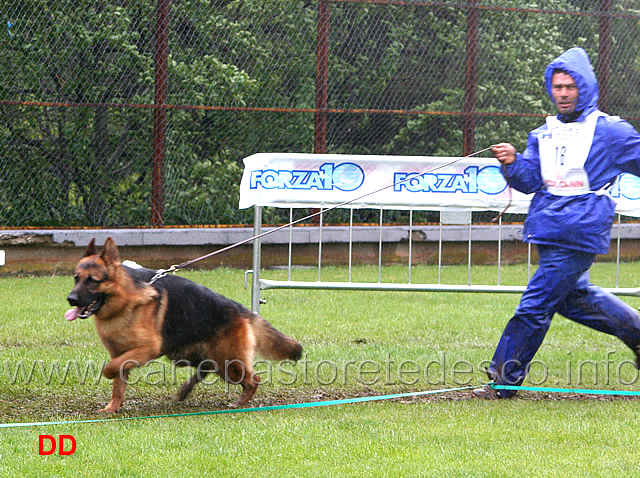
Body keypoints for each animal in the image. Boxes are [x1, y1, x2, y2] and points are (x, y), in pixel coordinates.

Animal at [65, 237, 302, 412]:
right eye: (76, 278)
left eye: (92, 281)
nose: (71, 299)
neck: (124, 301)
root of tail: (239, 309)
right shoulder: (121, 353)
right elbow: (118, 385)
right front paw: (112, 407)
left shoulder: (146, 349)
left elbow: (111, 368)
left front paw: (108, 378)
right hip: (194, 356)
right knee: (206, 368)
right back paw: (185, 391)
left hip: (229, 363)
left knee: (254, 380)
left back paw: (239, 403)